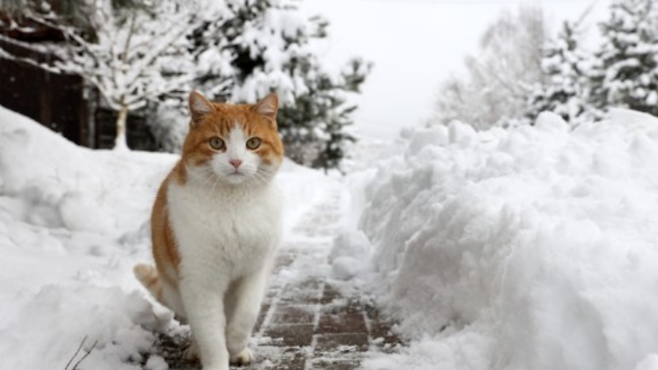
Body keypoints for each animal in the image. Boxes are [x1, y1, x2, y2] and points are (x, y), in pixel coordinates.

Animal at [135, 90, 284, 370]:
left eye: (253, 143)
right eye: (216, 143)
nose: (235, 161)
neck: (234, 204)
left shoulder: (255, 271)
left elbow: (246, 314)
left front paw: (235, 344)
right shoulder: (199, 282)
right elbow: (210, 335)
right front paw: (217, 357)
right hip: (178, 289)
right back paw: (195, 349)